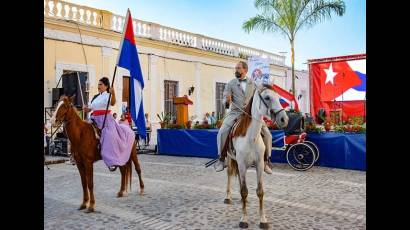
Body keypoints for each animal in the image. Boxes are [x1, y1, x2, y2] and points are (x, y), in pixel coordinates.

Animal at [224, 84, 288, 228]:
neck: (251, 137)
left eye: (278, 97)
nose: (284, 119)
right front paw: (244, 219)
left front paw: (263, 220)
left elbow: (260, 191)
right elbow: (244, 191)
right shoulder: (241, 164)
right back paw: (228, 197)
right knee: (229, 174)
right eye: (267, 97)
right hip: (230, 159)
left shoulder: (259, 164)